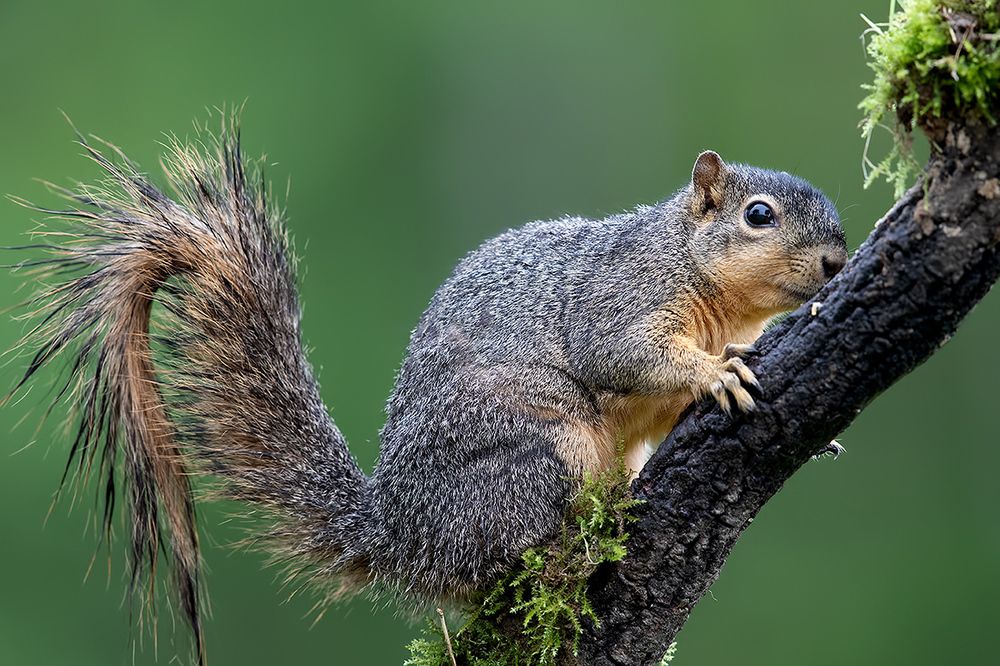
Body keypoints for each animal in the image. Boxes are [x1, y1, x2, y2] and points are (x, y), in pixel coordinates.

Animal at [7, 121, 847, 662]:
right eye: (759, 215)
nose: (839, 264)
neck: (697, 273)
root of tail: (399, 533)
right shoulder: (619, 299)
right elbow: (622, 354)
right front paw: (717, 371)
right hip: (541, 456)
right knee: (508, 557)